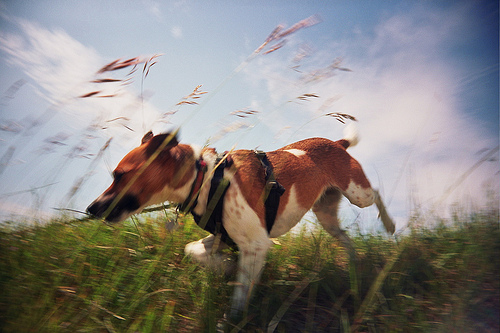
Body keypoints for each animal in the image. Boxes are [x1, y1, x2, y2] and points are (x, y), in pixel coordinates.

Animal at [88, 127, 396, 316]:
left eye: (119, 175)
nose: (90, 209)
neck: (206, 179)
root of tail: (337, 143)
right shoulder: (225, 237)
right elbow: (193, 250)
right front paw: (225, 267)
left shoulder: (256, 243)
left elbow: (239, 297)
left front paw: (232, 315)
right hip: (326, 214)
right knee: (344, 237)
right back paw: (354, 261)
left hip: (358, 193)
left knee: (377, 193)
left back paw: (390, 225)